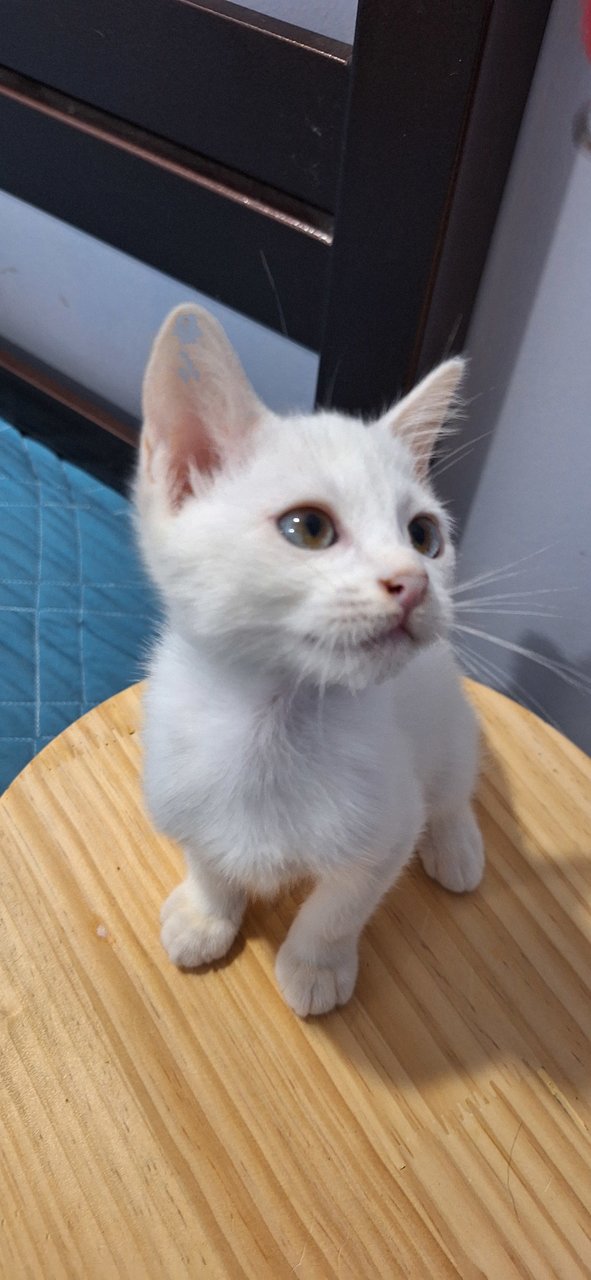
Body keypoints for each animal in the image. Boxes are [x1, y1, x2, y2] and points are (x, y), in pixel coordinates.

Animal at [134, 304, 483, 1013]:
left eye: (424, 536)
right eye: (309, 528)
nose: (415, 581)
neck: (274, 731)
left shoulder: (389, 826)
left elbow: (341, 903)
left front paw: (314, 965)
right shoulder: (176, 790)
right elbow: (208, 857)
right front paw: (206, 914)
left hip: (451, 724)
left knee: (453, 785)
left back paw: (457, 845)